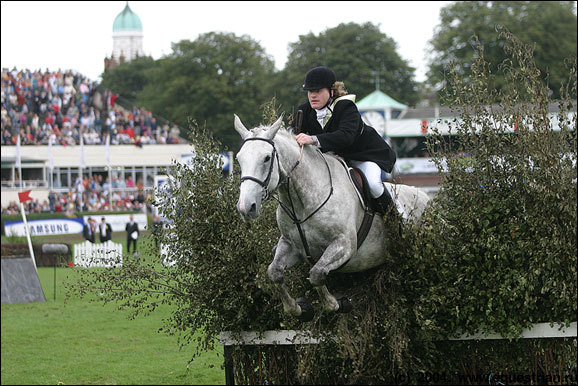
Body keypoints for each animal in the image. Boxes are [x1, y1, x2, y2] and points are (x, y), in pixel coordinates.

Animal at [233, 114, 428, 320]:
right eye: (239, 158)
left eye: (266, 158)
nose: (246, 207)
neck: (302, 202)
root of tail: (426, 196)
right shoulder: (291, 245)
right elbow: (274, 272)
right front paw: (297, 308)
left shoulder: (344, 244)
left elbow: (317, 274)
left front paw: (336, 303)